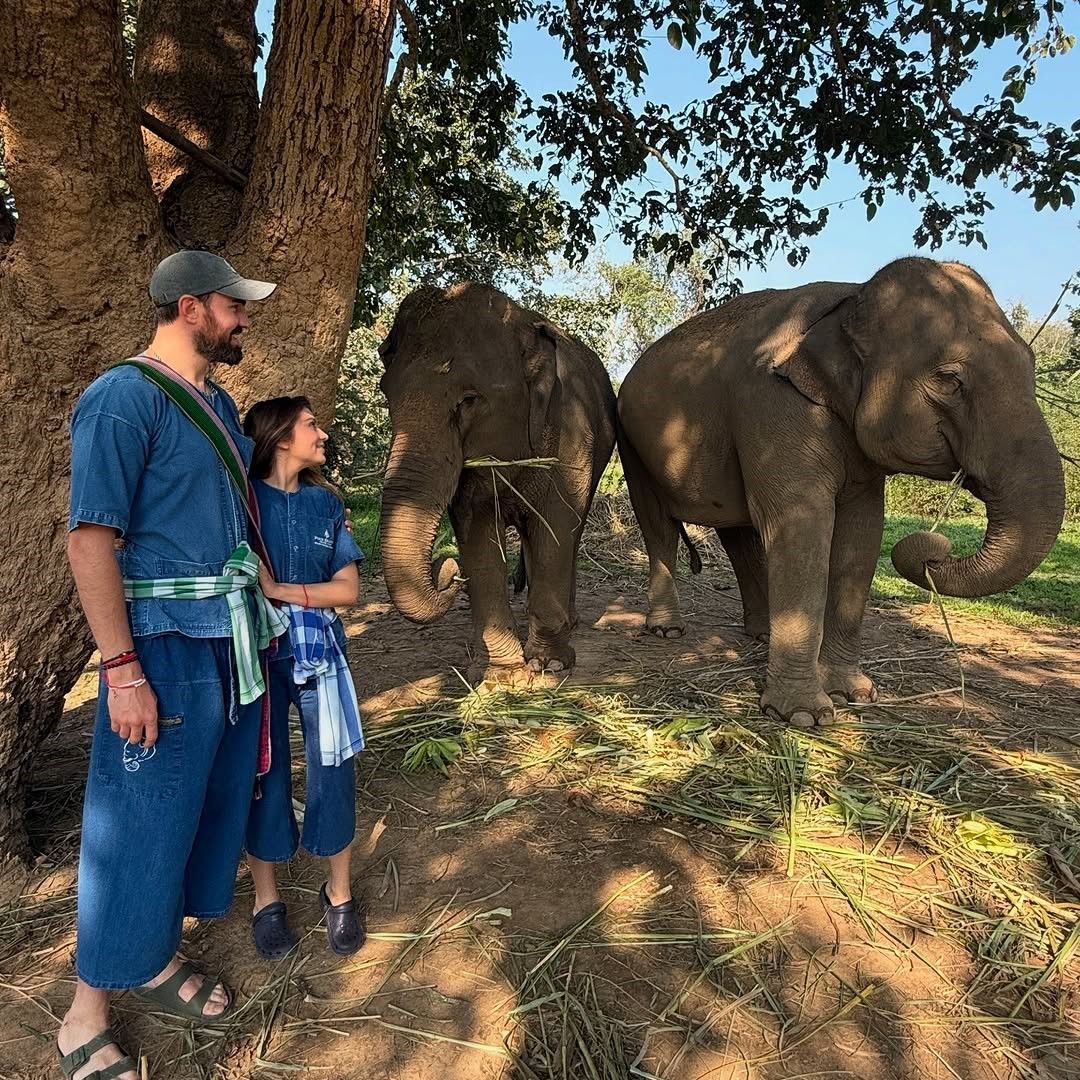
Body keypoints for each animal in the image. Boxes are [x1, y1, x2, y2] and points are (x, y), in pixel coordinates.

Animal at [378, 282, 617, 678]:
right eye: (387, 397)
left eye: (469, 399)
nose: (447, 570)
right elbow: (477, 529)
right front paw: (503, 672)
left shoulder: (573, 431)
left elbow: (556, 524)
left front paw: (549, 664)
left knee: (569, 532)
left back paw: (569, 624)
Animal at [617, 254, 1062, 725]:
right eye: (949, 379)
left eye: (1031, 364)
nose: (934, 552)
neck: (853, 296)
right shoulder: (773, 405)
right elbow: (803, 527)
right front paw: (804, 716)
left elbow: (862, 534)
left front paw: (855, 694)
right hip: (632, 443)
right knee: (658, 526)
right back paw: (667, 629)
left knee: (738, 535)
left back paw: (761, 634)